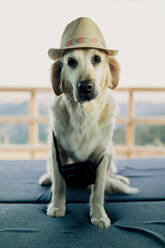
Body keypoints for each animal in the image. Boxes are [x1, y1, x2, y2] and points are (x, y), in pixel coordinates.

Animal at [38, 17, 138, 231]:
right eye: (71, 62)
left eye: (97, 59)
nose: (85, 87)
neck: (84, 114)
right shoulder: (57, 149)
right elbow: (59, 183)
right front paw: (57, 206)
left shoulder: (102, 154)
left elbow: (98, 190)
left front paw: (99, 216)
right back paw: (47, 178)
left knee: (110, 175)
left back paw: (119, 179)